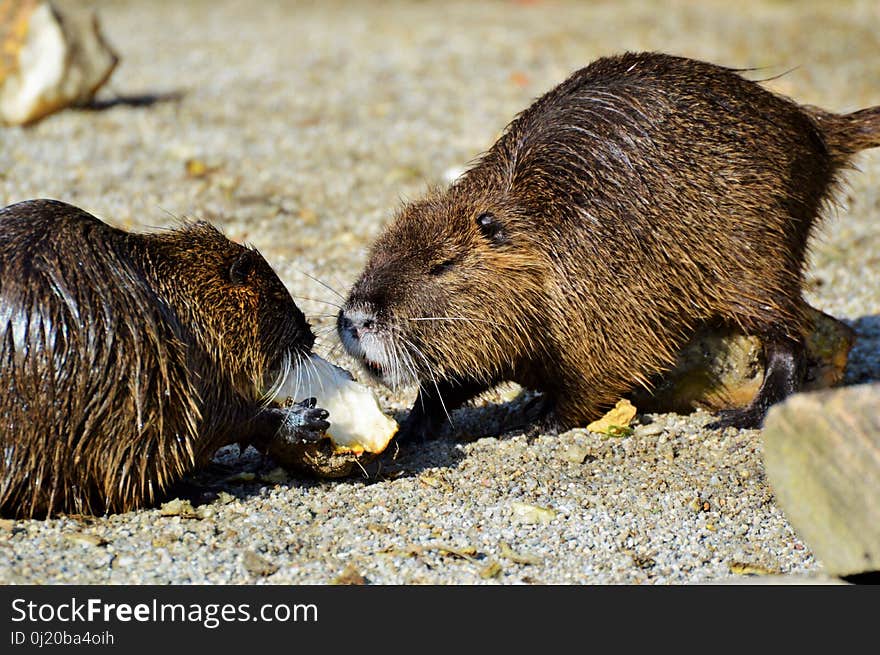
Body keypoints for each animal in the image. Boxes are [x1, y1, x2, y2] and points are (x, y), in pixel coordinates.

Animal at [0, 200, 330, 516]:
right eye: (277, 298)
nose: (310, 335)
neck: (178, 288)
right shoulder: (191, 364)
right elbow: (221, 418)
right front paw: (305, 418)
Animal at [336, 50, 880, 440]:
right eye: (374, 253)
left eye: (442, 265)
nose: (356, 319)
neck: (541, 226)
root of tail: (816, 129)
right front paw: (412, 426)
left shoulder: (608, 296)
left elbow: (607, 371)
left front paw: (537, 423)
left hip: (755, 252)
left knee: (788, 333)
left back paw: (748, 412)